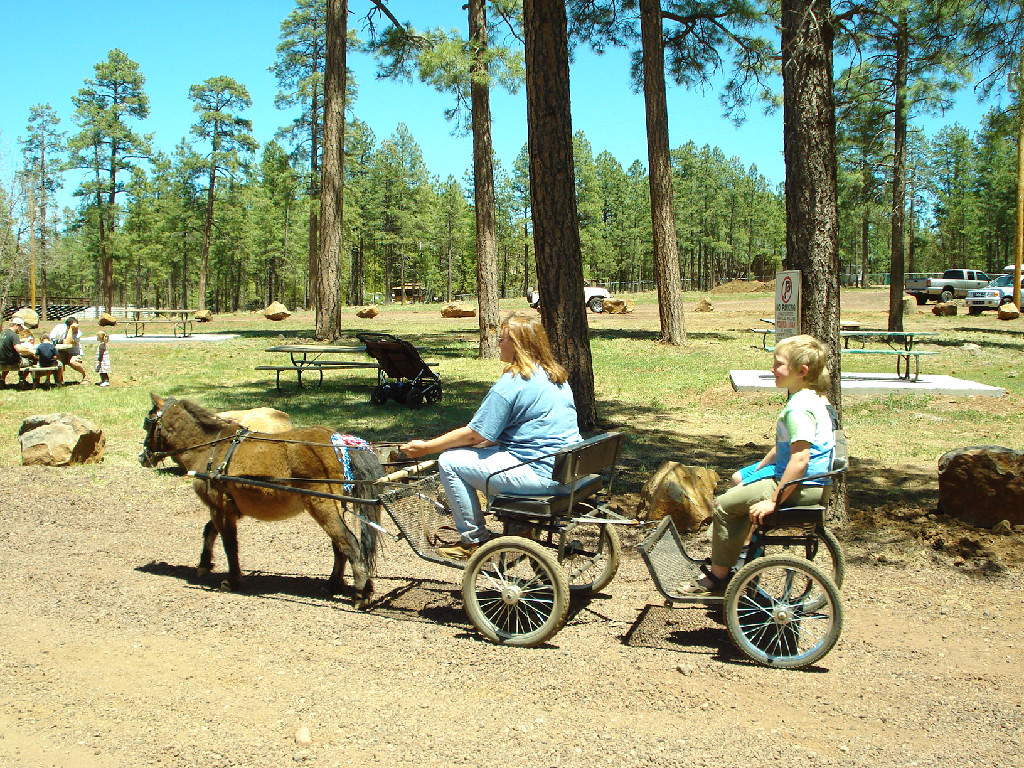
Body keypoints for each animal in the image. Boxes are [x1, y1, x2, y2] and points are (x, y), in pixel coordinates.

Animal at [143, 397, 385, 606]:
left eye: (148, 422)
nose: (143, 457)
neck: (209, 447)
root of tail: (337, 441)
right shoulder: (222, 507)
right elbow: (209, 531)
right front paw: (204, 565)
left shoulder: (221, 509)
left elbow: (229, 544)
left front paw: (232, 580)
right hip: (332, 507)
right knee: (339, 546)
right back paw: (334, 585)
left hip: (322, 506)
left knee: (348, 543)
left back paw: (361, 594)